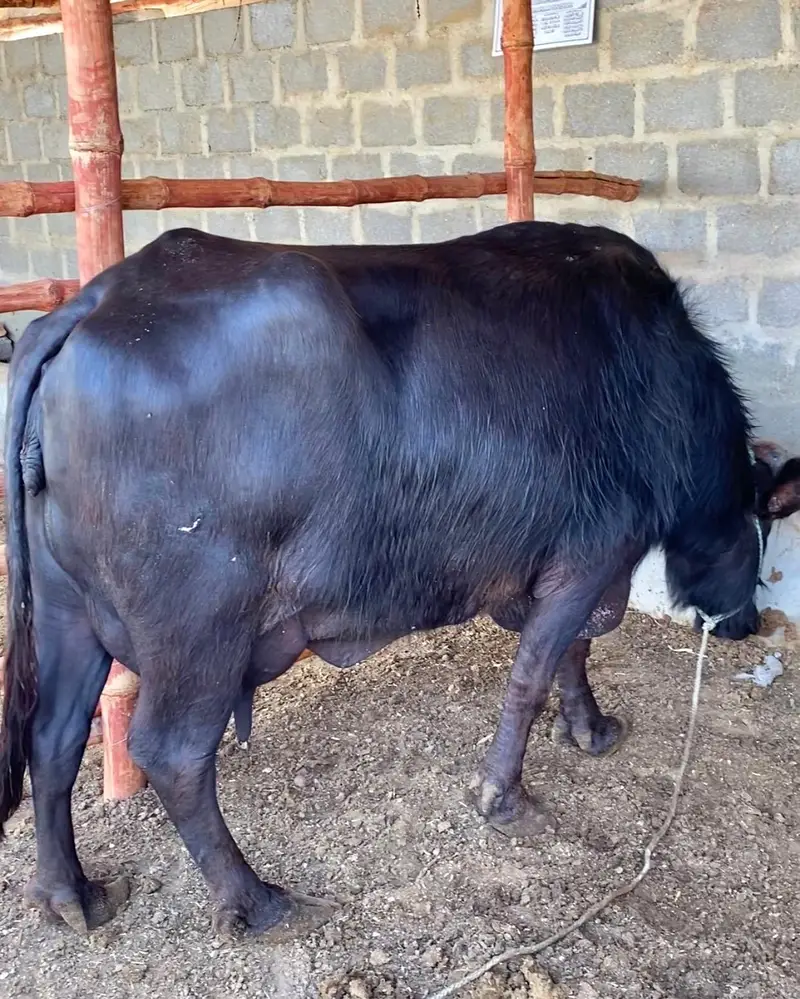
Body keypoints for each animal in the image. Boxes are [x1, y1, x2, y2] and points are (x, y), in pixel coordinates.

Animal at [1, 221, 799, 942]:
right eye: (758, 530)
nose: (745, 624)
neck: (654, 379)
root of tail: (98, 301)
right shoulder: (593, 557)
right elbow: (534, 673)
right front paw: (505, 797)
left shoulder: (564, 567)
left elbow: (574, 652)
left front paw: (590, 728)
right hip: (199, 628)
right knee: (172, 753)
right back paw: (255, 900)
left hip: (67, 611)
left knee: (54, 736)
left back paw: (68, 893)